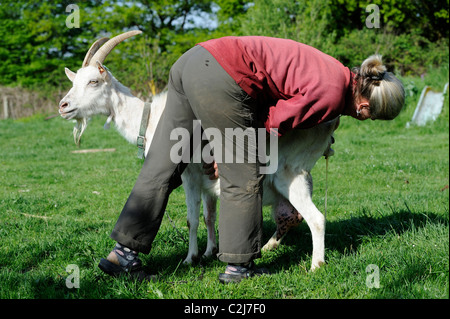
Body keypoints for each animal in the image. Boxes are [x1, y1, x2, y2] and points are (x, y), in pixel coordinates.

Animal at [58, 31, 336, 272]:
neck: (149, 119)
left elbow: (192, 219)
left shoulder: (189, 175)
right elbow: (208, 216)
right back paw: (268, 247)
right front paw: (210, 251)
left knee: (316, 218)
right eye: (74, 82)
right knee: (291, 217)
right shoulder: (207, 180)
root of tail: (327, 126)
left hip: (288, 174)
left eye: (93, 82)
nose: (63, 106)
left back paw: (316, 265)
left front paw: (191, 258)